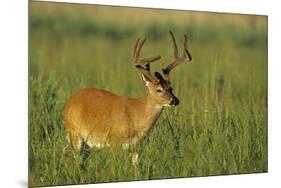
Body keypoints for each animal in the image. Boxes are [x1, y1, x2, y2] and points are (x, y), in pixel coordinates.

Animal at [63, 31, 190, 164]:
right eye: (158, 90)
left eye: (171, 88)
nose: (175, 100)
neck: (135, 115)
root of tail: (68, 103)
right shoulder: (114, 142)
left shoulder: (136, 147)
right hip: (74, 135)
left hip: (87, 145)